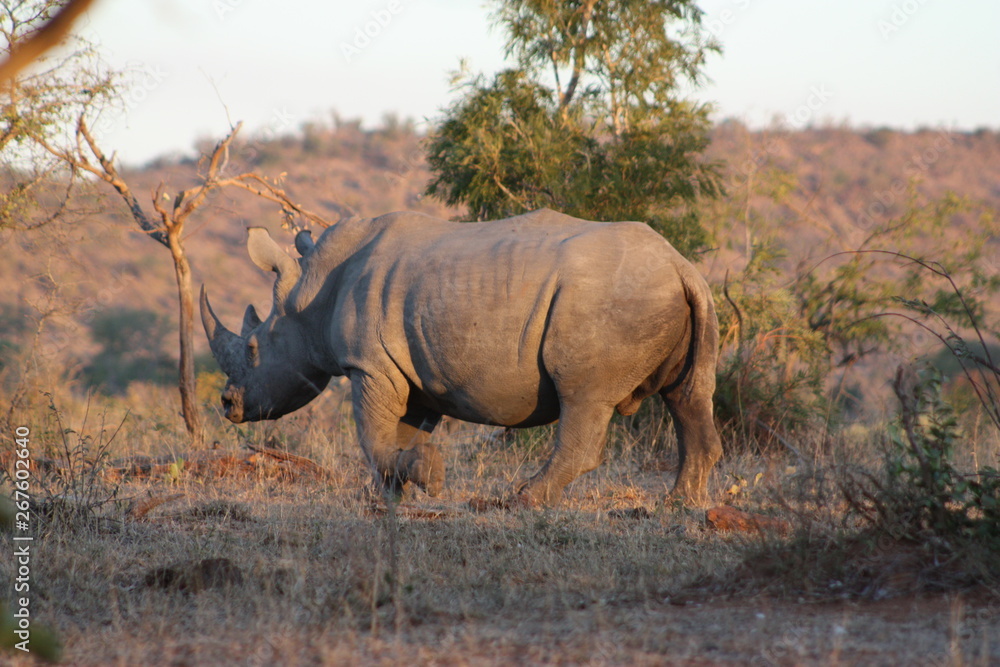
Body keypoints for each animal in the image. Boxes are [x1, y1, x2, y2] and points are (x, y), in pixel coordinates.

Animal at [201, 208, 722, 506]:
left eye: (253, 349)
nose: (228, 405)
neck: (310, 297)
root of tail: (681, 265)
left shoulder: (368, 366)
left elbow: (372, 434)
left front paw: (424, 479)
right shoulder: (406, 371)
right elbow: (399, 434)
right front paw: (390, 491)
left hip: (609, 299)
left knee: (584, 397)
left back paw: (525, 501)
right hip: (673, 295)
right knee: (688, 397)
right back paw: (680, 505)